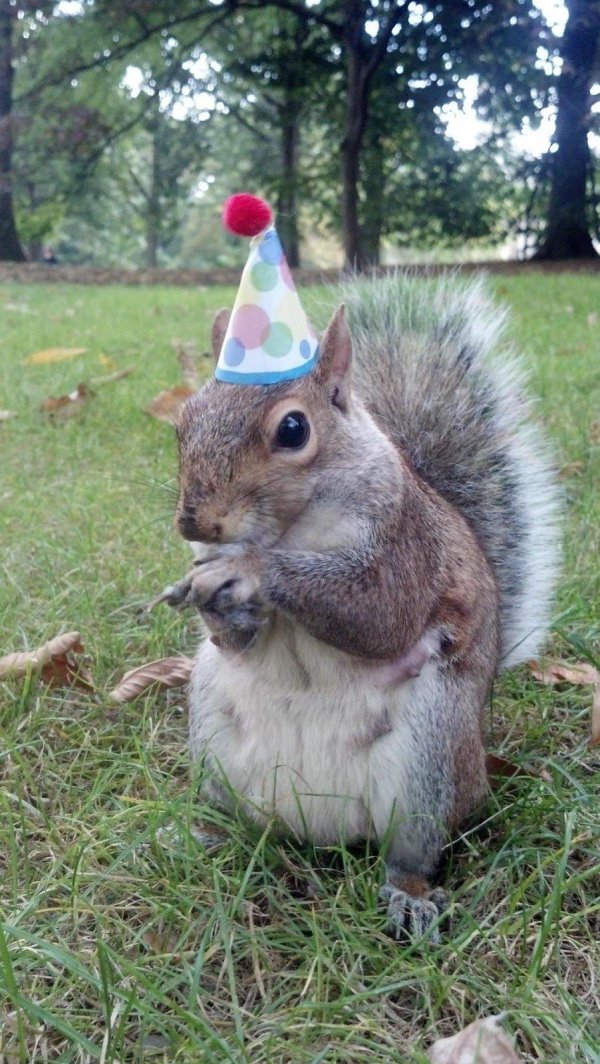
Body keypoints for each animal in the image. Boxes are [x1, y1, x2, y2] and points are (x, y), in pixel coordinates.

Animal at [168, 272, 560, 942]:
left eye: (293, 430)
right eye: (183, 422)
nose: (196, 522)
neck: (292, 529)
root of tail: (318, 826)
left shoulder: (406, 548)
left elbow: (378, 614)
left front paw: (247, 571)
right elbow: (236, 638)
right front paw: (208, 596)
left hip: (431, 753)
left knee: (412, 852)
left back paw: (408, 896)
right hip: (214, 736)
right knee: (242, 826)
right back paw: (200, 837)